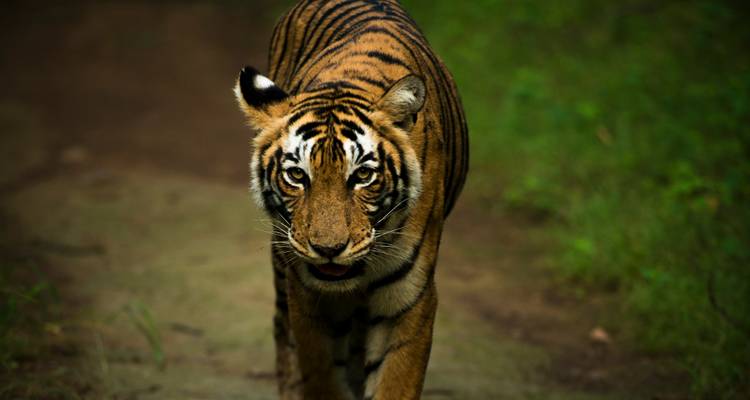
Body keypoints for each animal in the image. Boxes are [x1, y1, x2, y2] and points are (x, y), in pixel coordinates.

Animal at [234, 1, 468, 399]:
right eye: (297, 176)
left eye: (362, 176)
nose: (328, 249)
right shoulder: (309, 298)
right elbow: (322, 377)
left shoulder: (407, 300)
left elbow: (395, 382)